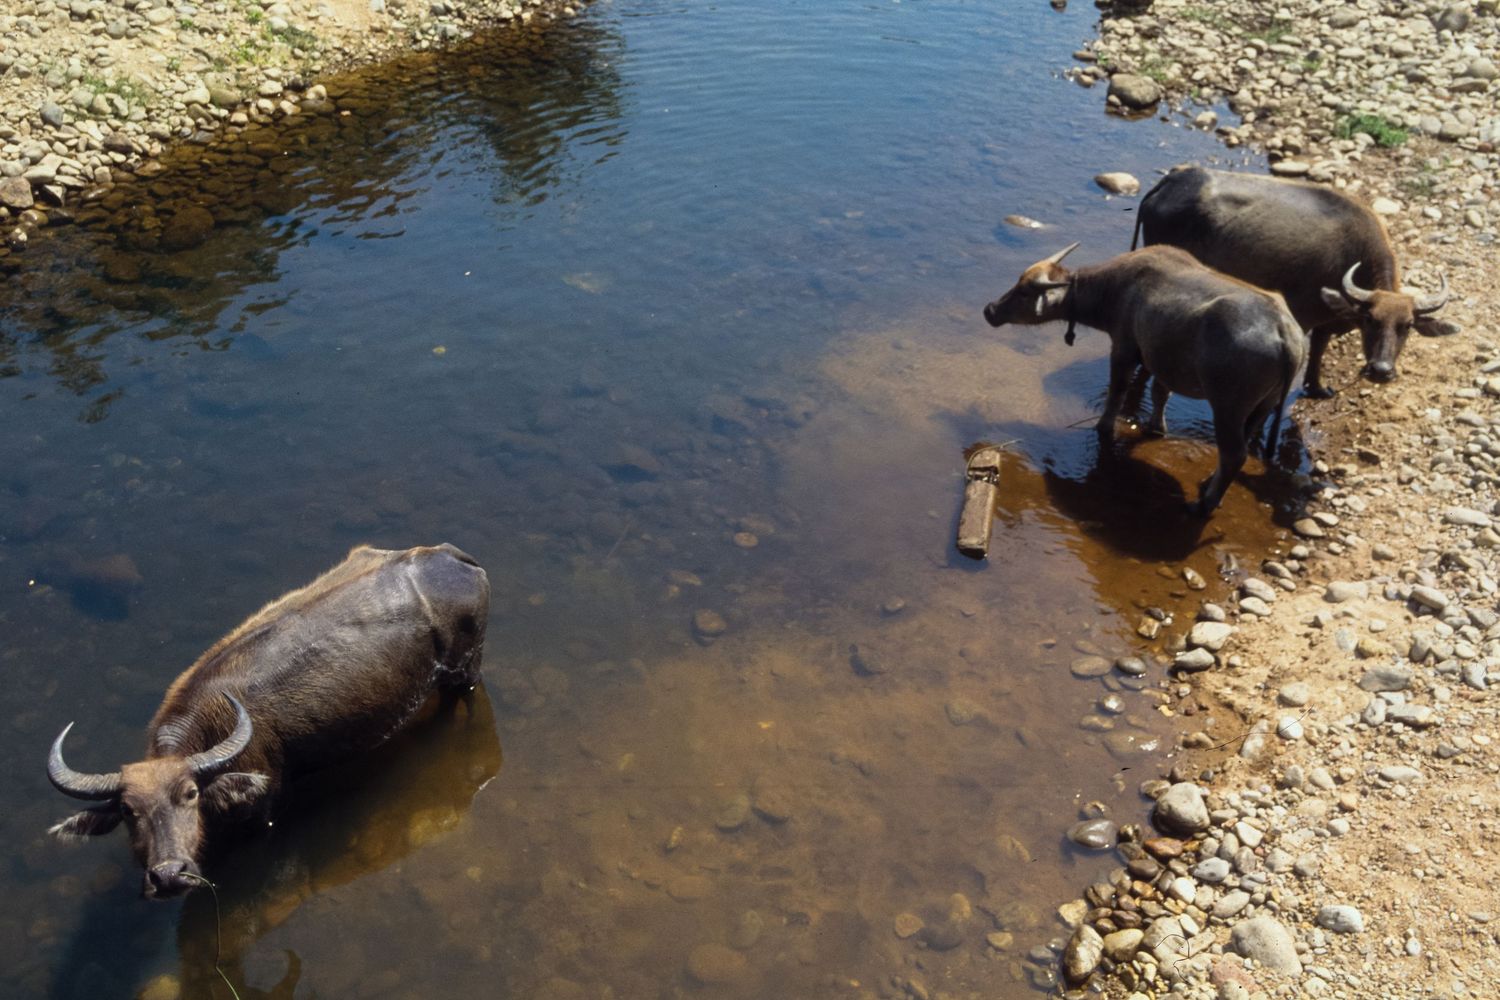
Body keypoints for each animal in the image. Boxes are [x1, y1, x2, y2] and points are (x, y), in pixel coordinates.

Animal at [46, 543, 490, 899]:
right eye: (127, 811)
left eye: (190, 794)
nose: (169, 875)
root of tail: (452, 557)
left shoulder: (266, 810)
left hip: (466, 671)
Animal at [983, 243, 1307, 515]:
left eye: (1024, 292)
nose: (990, 310)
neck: (1115, 290)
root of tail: (1286, 335)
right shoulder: (1157, 360)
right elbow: (1159, 394)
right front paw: (1155, 427)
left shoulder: (1123, 349)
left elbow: (1117, 393)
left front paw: (1104, 427)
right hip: (1264, 404)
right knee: (1246, 440)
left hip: (1228, 406)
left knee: (1234, 454)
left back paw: (1205, 503)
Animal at [1133, 165, 1450, 397]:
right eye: (1371, 320)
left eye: (1407, 325)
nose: (1382, 371)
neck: (1352, 255)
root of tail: (1172, 180)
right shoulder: (1303, 316)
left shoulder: (1328, 321)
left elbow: (1319, 351)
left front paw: (1317, 388)